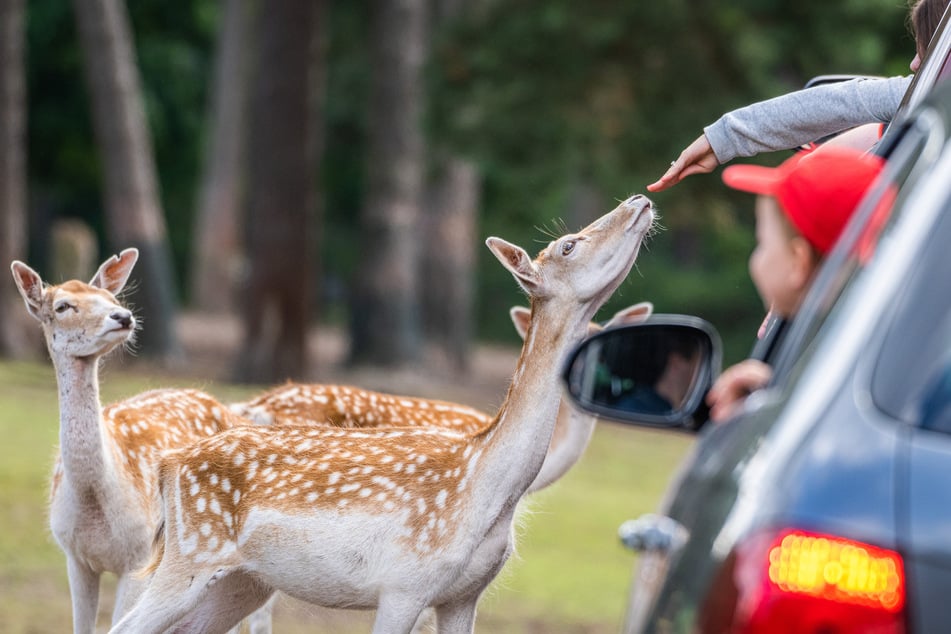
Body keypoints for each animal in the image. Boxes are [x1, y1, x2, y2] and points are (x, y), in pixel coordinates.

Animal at [8, 247, 253, 632]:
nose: (122, 316)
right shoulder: (74, 556)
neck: (94, 500)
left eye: (111, 298)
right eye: (63, 306)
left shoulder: (137, 556)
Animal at [106, 194, 656, 632]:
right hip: (190, 554)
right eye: (568, 245)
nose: (637, 200)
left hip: (242, 580)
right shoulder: (403, 585)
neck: (485, 483)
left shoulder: (464, 595)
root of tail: (170, 465)